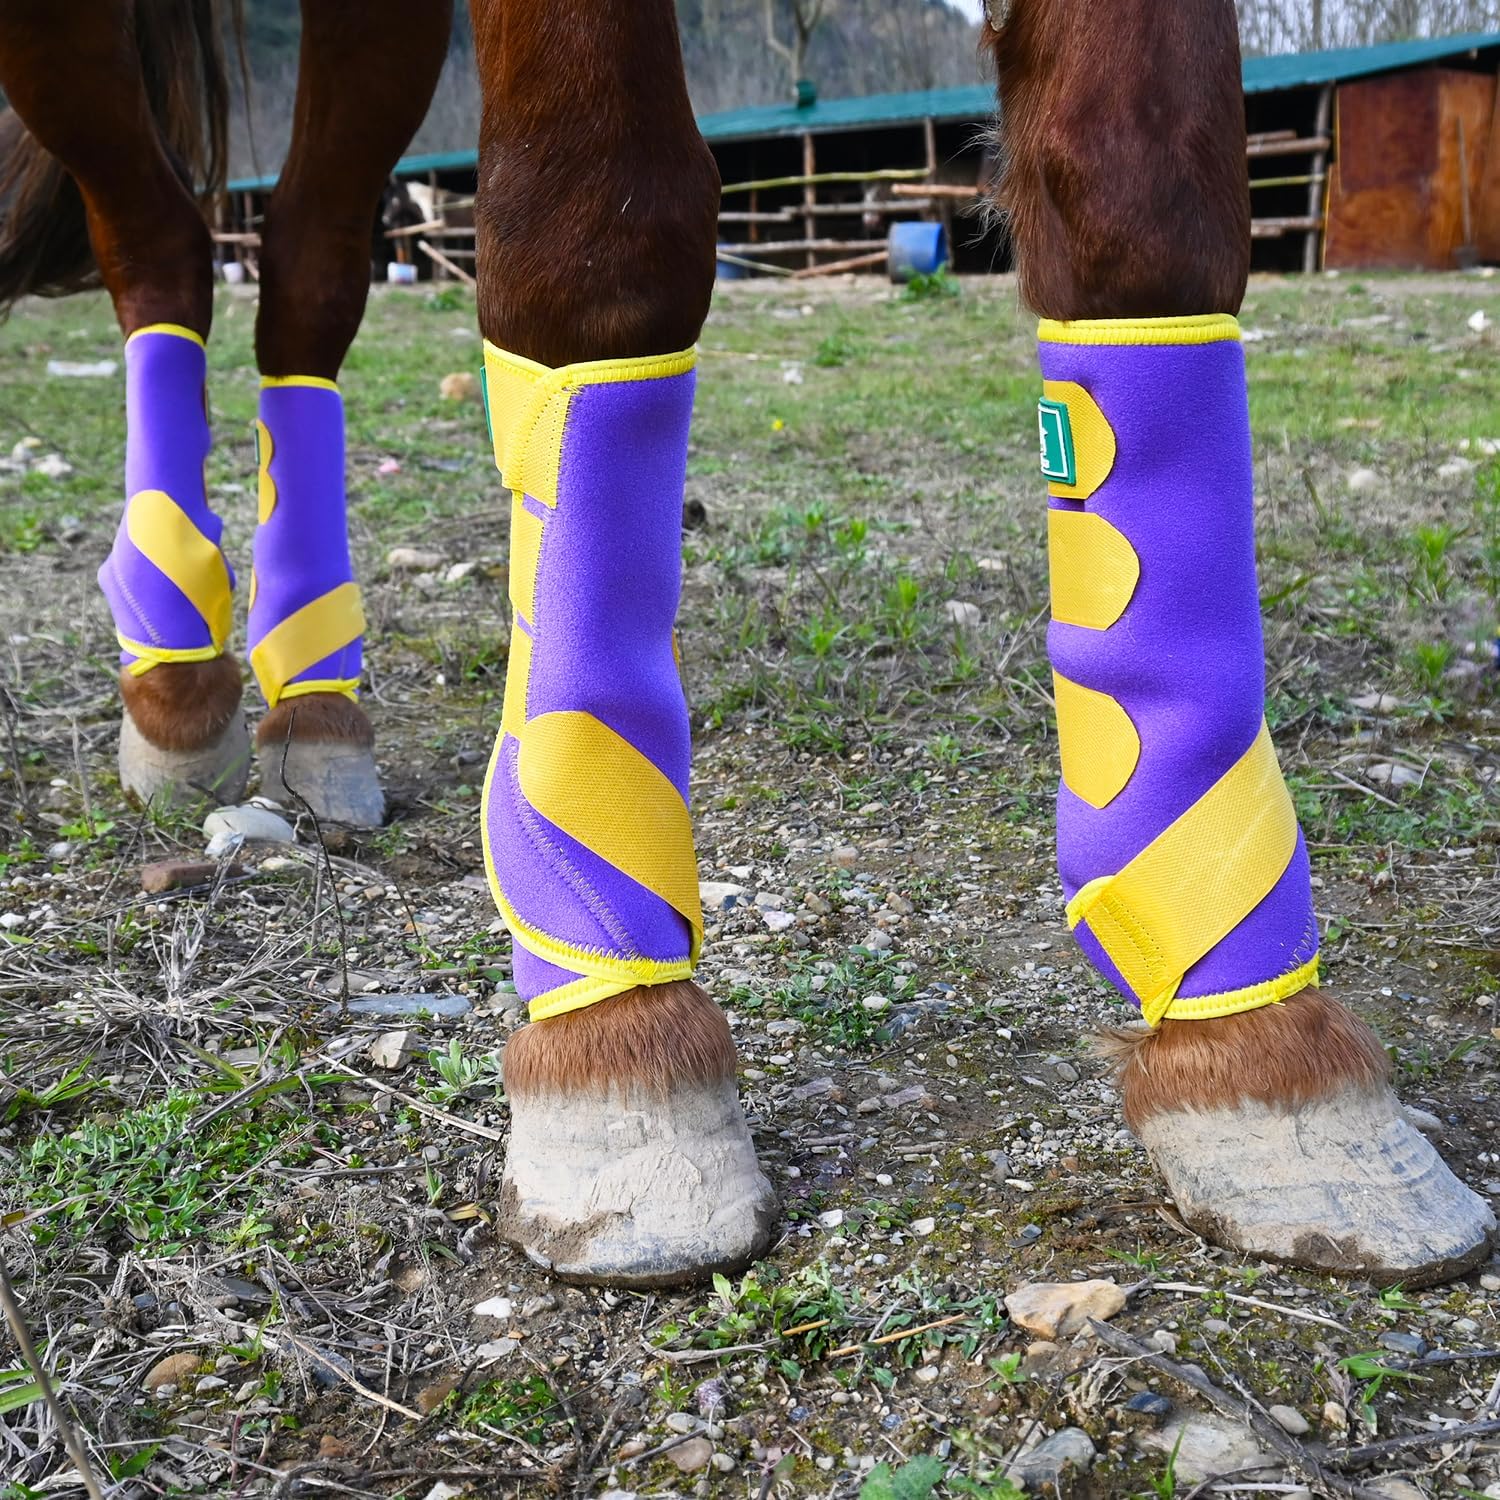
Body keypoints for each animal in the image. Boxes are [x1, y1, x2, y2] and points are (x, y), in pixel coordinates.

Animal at [0, 0, 1492, 1289]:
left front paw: (1264, 1054)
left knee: (303, 275)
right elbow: (597, 240)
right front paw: (614, 1040)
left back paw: (312, 701)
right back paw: (176, 675)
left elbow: (1144, 210)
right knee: (161, 246)